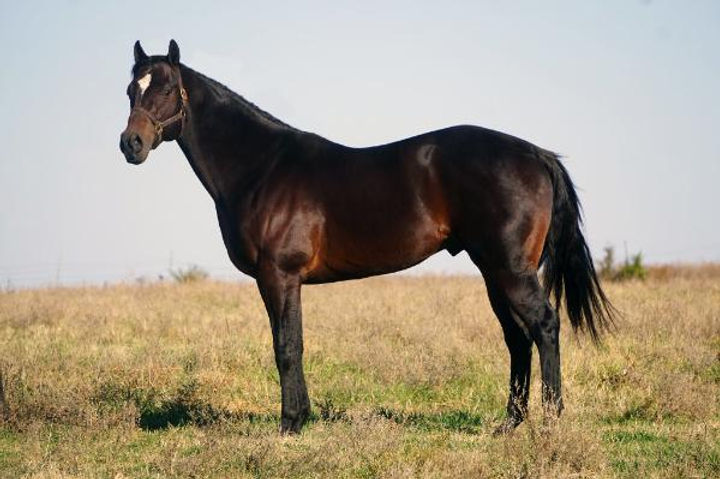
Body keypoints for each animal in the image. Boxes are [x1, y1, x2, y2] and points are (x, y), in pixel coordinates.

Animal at [119, 40, 614, 434]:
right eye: (130, 91)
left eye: (166, 88)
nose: (131, 144)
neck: (261, 167)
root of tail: (536, 153)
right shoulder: (284, 281)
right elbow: (293, 344)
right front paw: (301, 417)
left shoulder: (278, 276)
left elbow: (286, 347)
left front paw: (290, 424)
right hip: (494, 271)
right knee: (517, 338)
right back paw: (509, 423)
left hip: (509, 269)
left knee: (544, 326)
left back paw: (549, 421)